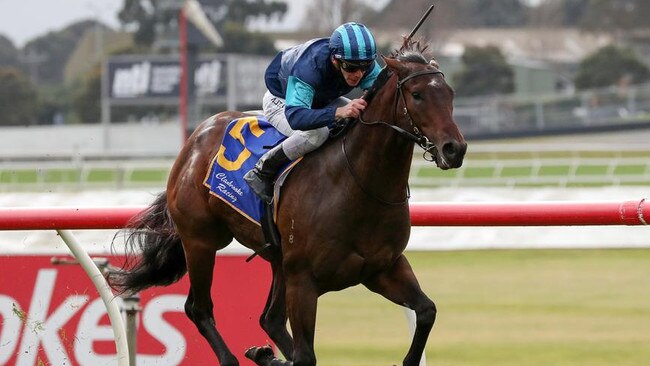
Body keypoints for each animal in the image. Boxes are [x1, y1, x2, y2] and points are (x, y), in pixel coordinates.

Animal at [111, 38, 466, 364]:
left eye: (449, 93)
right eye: (417, 95)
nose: (455, 149)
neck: (357, 186)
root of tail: (196, 136)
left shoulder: (383, 267)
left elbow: (427, 311)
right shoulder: (304, 282)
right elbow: (306, 355)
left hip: (277, 260)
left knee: (269, 319)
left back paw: (266, 354)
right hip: (201, 241)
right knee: (198, 309)